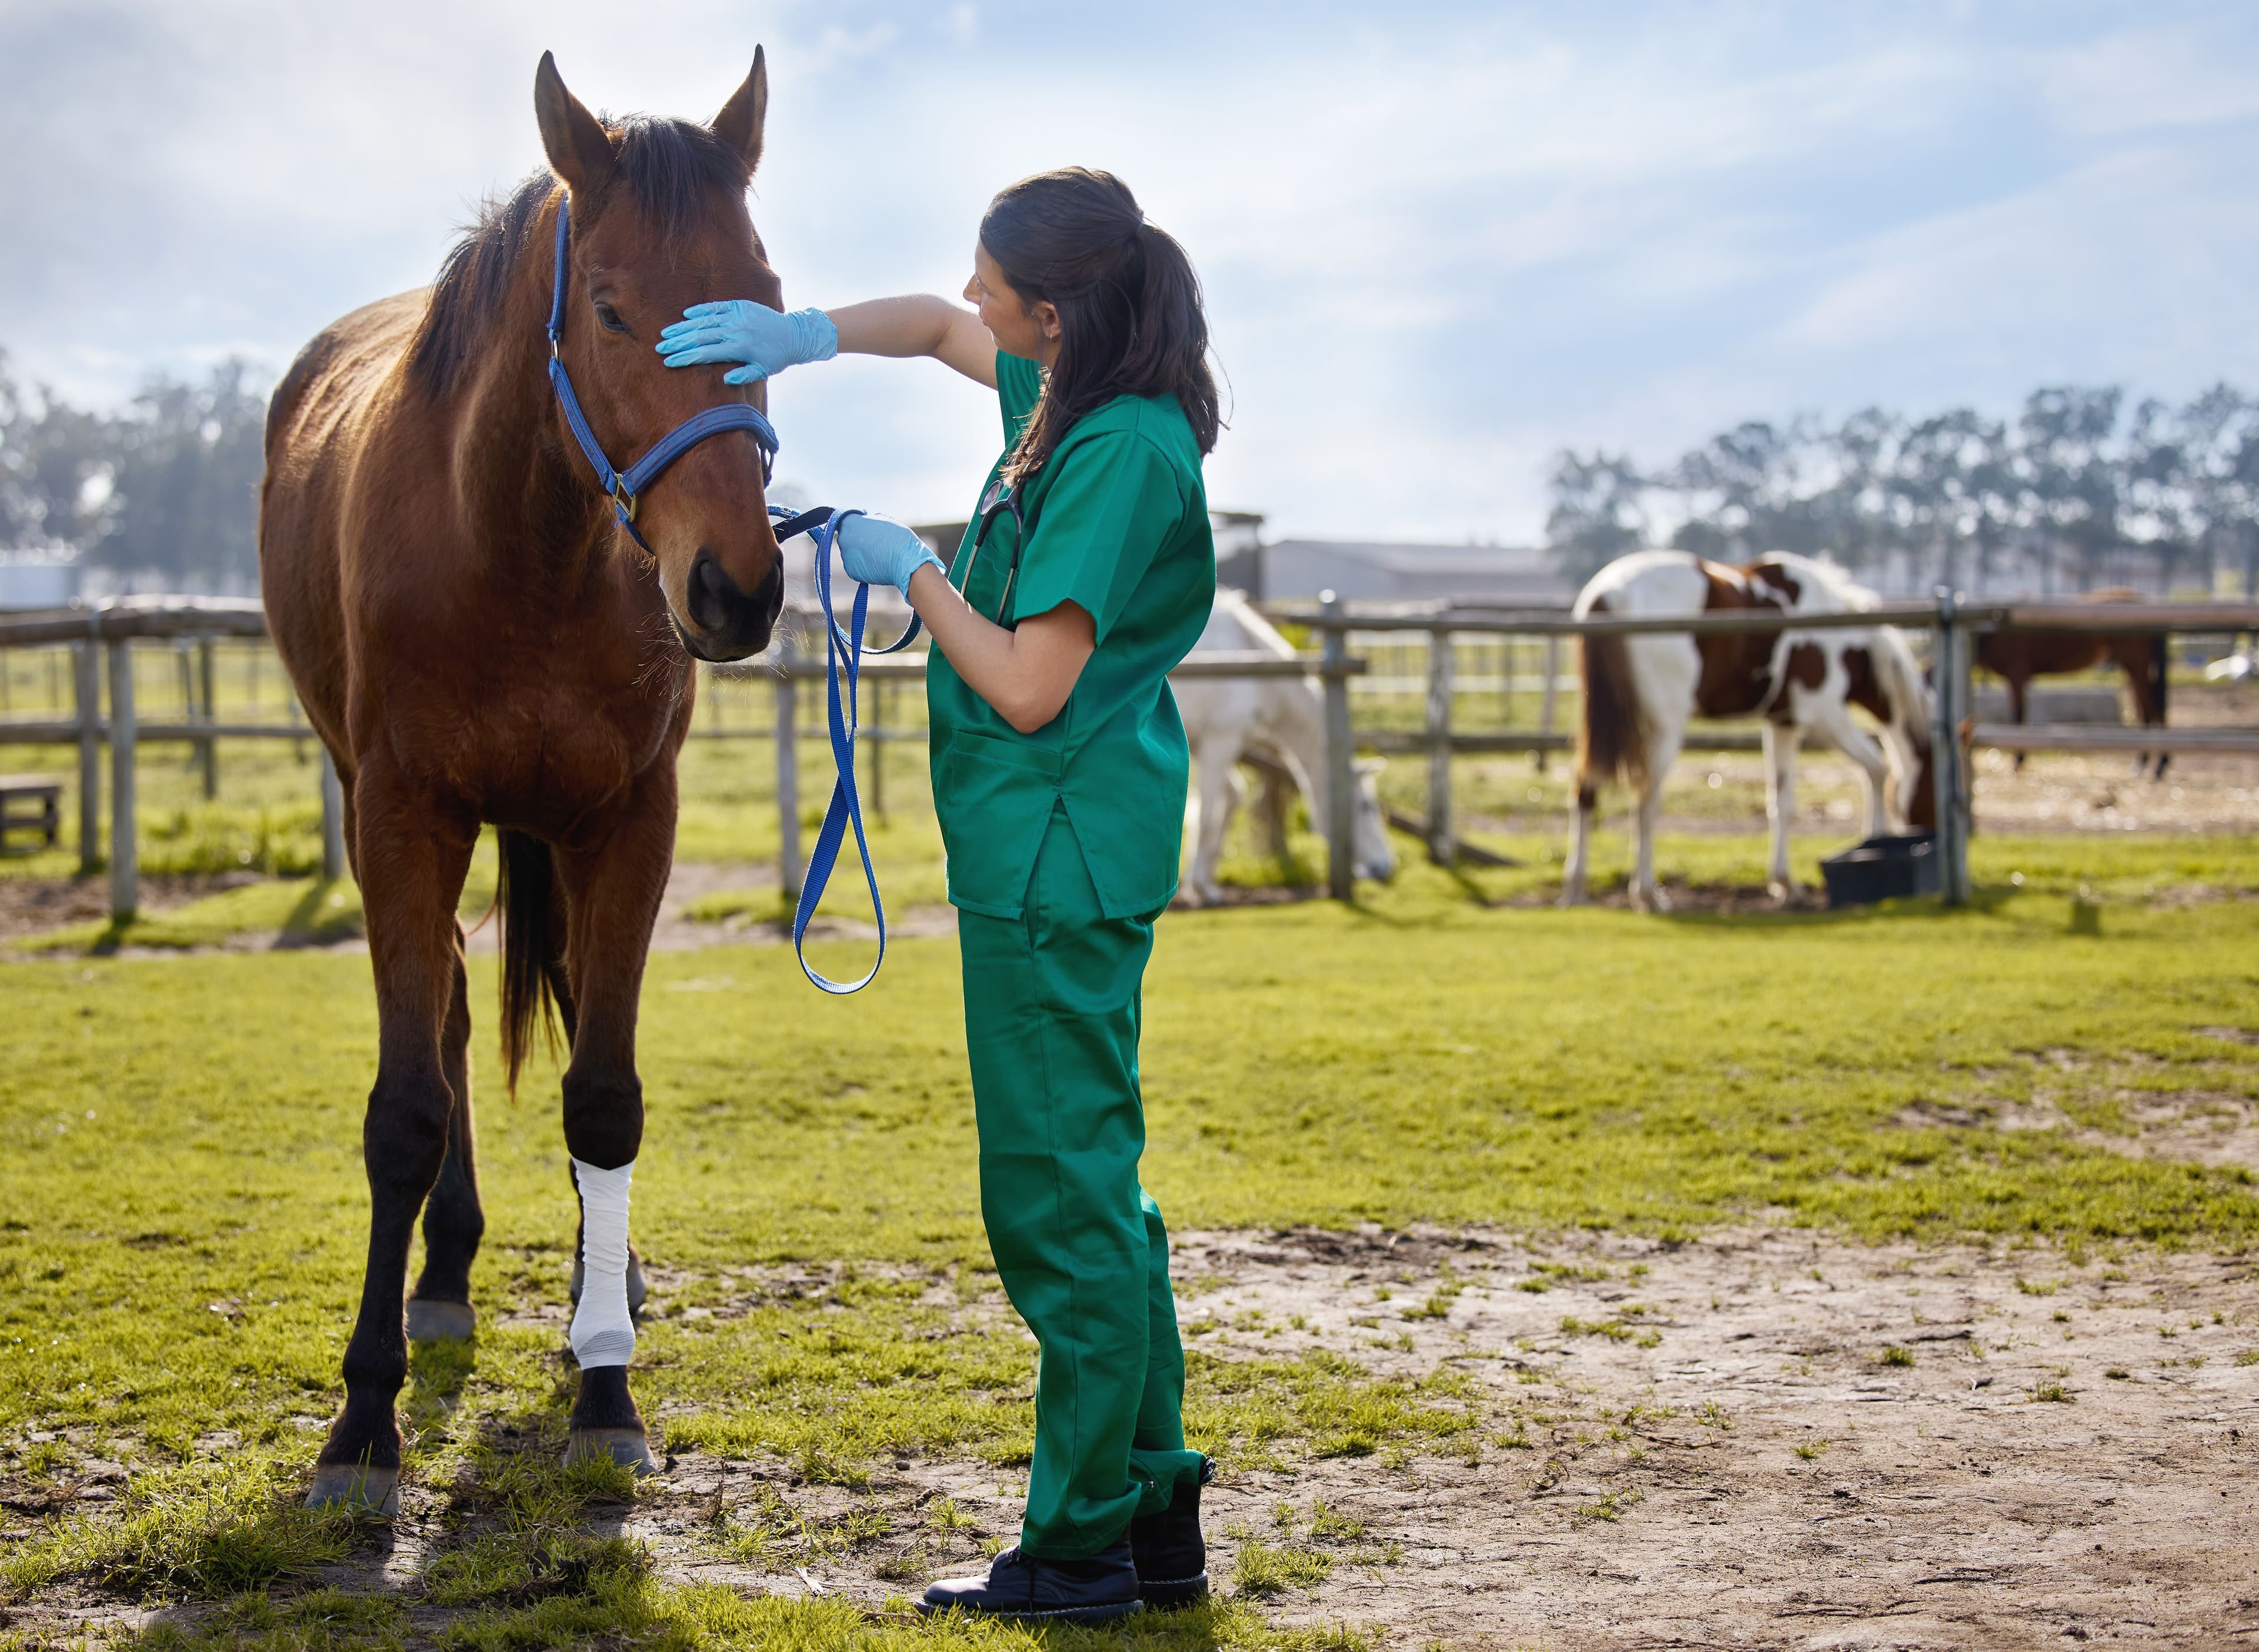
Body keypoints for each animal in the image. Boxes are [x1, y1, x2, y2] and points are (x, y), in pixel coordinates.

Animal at [253, 58, 786, 1516]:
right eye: (609, 306)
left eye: (767, 296)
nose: (736, 585)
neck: (521, 548)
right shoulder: (402, 815)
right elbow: (404, 1111)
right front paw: (361, 1419)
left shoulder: (632, 821)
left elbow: (604, 1094)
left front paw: (606, 1390)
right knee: (438, 1003)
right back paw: (441, 1274)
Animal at [1174, 591, 1382, 902]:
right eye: (1366, 807)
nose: (1385, 867)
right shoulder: (1220, 739)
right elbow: (1207, 815)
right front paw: (1199, 888)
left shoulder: (1206, 745)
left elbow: (1230, 799)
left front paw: (1204, 884)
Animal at [1563, 555, 1934, 916]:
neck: (1840, 637)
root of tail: (1610, 592)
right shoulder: (1824, 715)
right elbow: (1877, 768)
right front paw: (1874, 840)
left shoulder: (1782, 722)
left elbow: (1782, 802)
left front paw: (1785, 885)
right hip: (1664, 726)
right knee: (1645, 802)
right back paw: (1648, 895)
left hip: (1599, 724)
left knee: (1586, 790)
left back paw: (1576, 887)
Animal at [1978, 586, 2168, 780]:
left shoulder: (2017, 674)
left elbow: (2018, 717)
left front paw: (2018, 761)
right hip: (2131, 670)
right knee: (2144, 712)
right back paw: (2142, 764)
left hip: (2137, 666)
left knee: (2155, 710)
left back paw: (2159, 766)